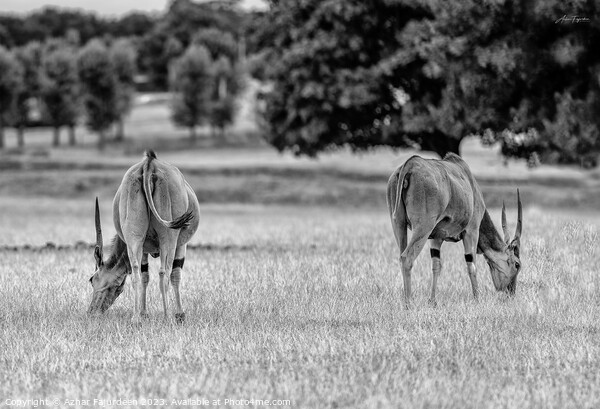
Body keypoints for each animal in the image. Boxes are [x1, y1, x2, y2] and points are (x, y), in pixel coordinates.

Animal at [86, 150, 200, 322]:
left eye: (92, 280)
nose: (92, 312)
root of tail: (149, 165)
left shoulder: (145, 248)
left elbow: (145, 275)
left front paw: (144, 313)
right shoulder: (180, 245)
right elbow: (174, 274)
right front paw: (180, 315)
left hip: (135, 239)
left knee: (136, 273)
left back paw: (136, 318)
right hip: (168, 239)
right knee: (164, 272)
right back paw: (167, 317)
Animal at [390, 153, 520, 302]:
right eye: (517, 264)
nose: (511, 292)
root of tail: (410, 164)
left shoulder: (436, 237)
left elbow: (436, 265)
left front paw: (432, 301)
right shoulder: (471, 231)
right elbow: (472, 265)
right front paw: (477, 299)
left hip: (399, 225)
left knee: (401, 255)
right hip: (423, 227)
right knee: (407, 258)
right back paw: (409, 303)